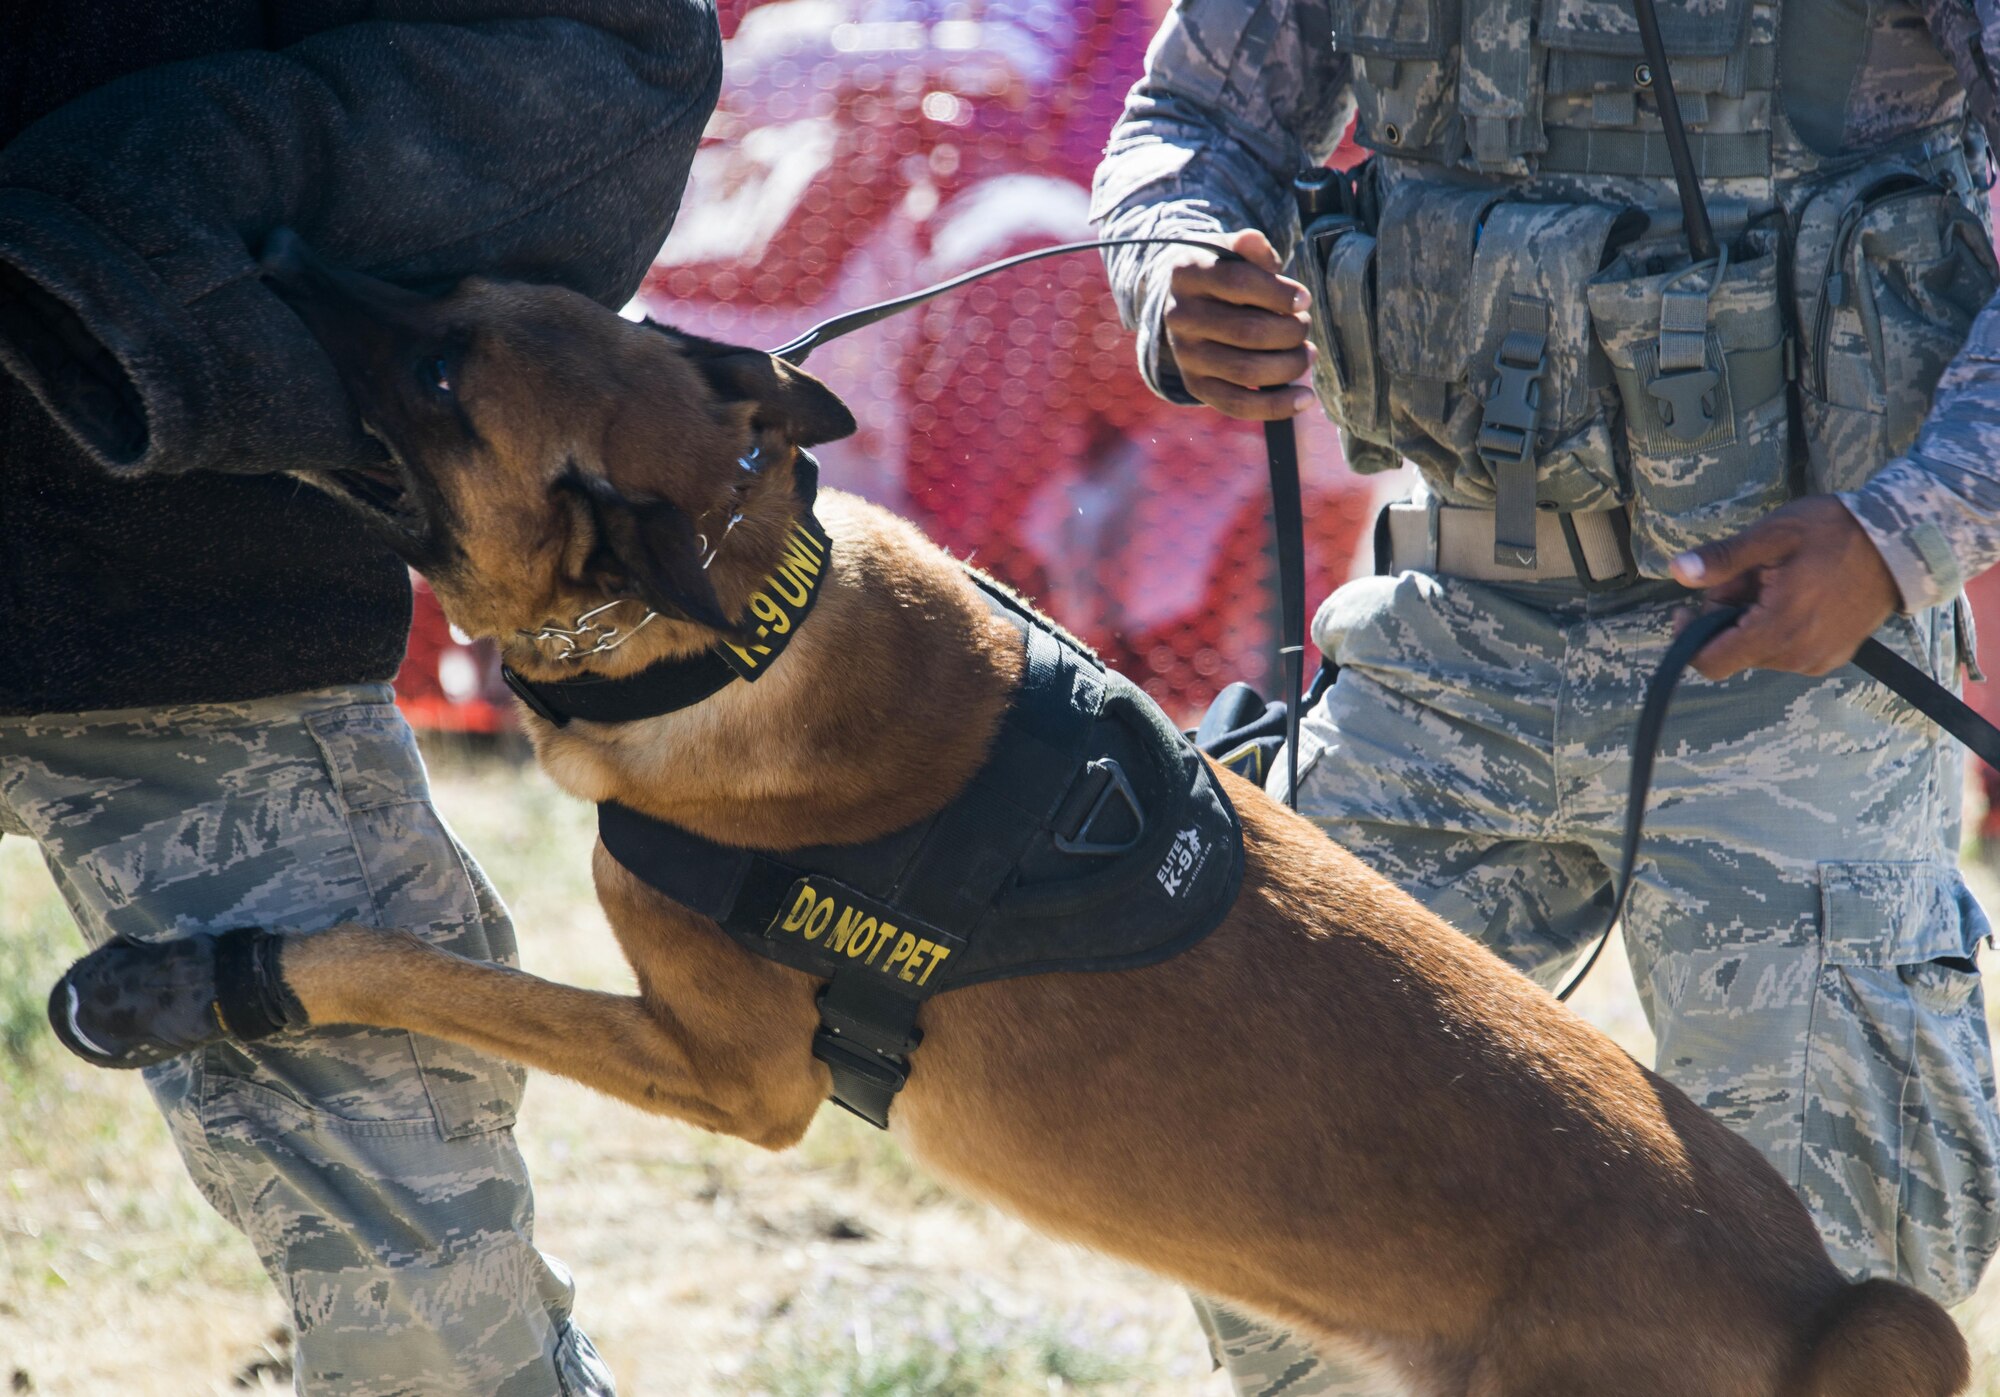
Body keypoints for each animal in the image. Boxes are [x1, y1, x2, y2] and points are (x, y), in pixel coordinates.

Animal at [50, 239, 1968, 1392]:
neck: (746, 622)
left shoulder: (725, 1073)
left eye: (444, 380)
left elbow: (406, 962)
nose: (266, 265)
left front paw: (191, 982)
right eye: (449, 302)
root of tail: (1821, 1306)